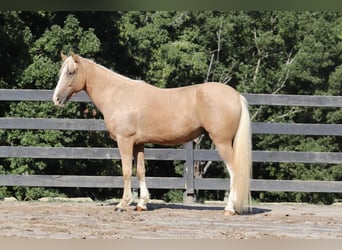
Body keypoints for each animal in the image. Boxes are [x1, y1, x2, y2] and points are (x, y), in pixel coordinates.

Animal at [52, 52, 252, 215]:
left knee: (234, 171)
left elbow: (126, 171)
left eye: (71, 72)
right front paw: (142, 204)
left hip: (222, 142)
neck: (118, 94)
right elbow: (141, 171)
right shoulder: (138, 144)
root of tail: (236, 95)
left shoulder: (125, 141)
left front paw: (122, 204)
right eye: (61, 72)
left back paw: (229, 208)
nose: (56, 99)